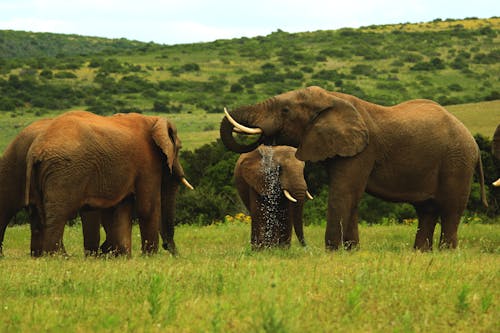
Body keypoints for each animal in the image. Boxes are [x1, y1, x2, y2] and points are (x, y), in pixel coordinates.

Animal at [25, 110, 193, 255]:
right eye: (179, 148)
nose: (170, 249)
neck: (153, 120)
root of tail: (35, 151)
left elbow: (122, 209)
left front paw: (125, 257)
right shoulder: (147, 161)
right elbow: (147, 207)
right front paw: (149, 257)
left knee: (43, 215)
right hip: (65, 172)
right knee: (59, 215)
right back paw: (58, 257)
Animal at [220, 85, 488, 249]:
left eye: (285, 110)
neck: (331, 98)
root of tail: (473, 142)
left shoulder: (363, 150)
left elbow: (343, 192)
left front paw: (333, 252)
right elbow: (351, 196)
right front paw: (351, 251)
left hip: (457, 161)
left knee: (451, 210)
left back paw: (446, 252)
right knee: (427, 210)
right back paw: (420, 253)